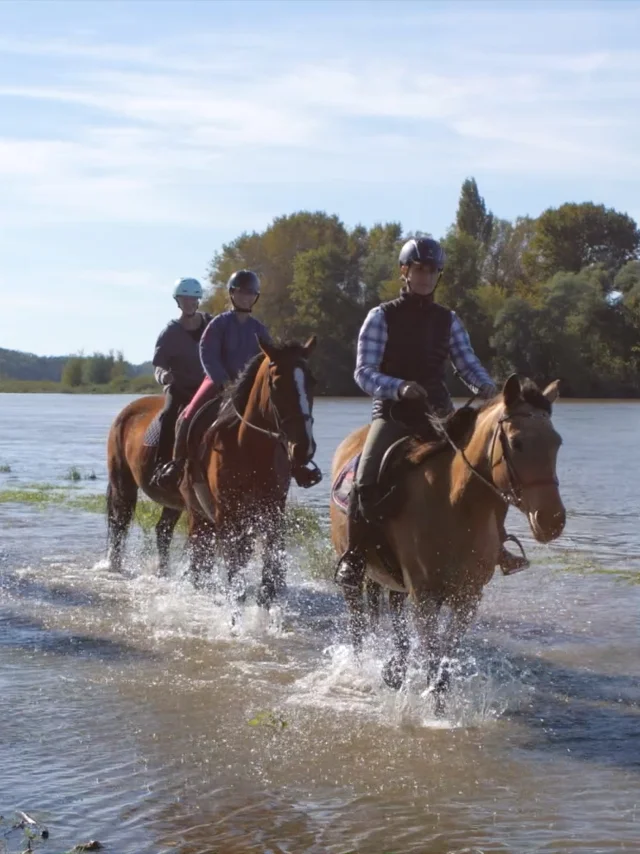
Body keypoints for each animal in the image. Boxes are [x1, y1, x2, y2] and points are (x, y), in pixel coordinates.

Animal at [330, 374, 564, 716]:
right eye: (517, 442)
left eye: (556, 442)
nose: (552, 520)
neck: (454, 503)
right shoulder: (424, 595)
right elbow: (431, 653)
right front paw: (434, 709)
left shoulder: (467, 596)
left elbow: (445, 654)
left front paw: (438, 701)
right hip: (356, 576)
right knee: (358, 624)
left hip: (394, 581)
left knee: (394, 616)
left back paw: (394, 670)